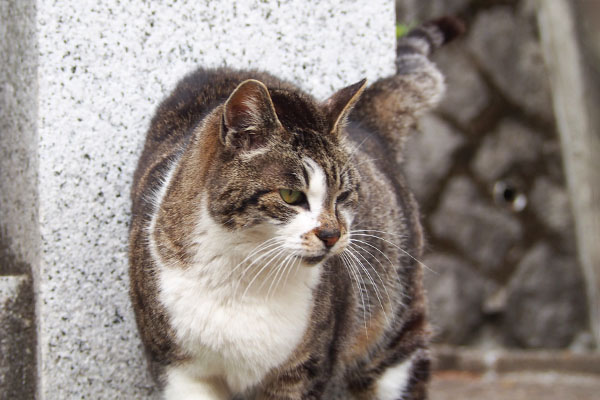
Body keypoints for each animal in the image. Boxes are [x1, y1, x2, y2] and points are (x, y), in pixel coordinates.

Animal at [129, 16, 462, 400]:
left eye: (343, 195)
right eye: (291, 196)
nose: (332, 234)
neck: (242, 277)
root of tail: (366, 121)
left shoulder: (304, 370)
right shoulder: (178, 369)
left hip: (395, 333)